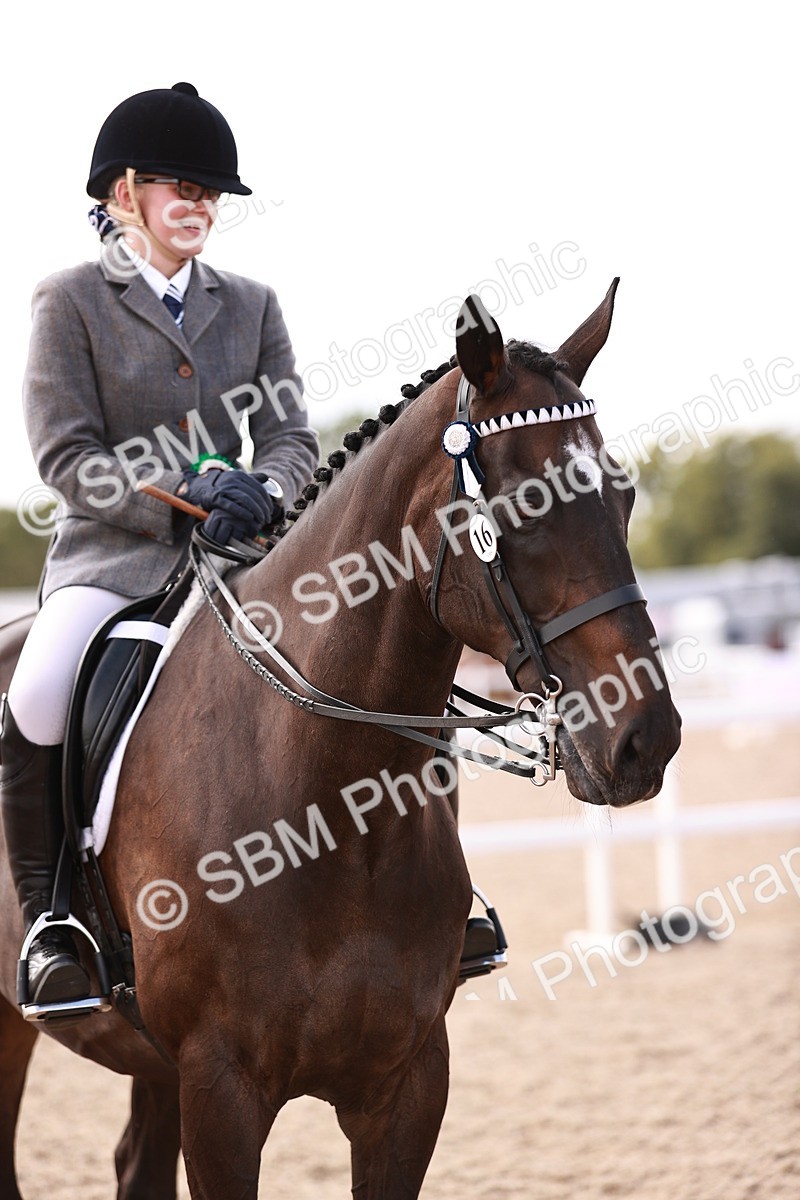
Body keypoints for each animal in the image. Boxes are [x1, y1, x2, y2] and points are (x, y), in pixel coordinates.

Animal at [0, 281, 681, 1199]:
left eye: (625, 493)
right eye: (522, 506)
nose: (647, 740)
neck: (331, 804)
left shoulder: (406, 1084)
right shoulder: (220, 1090)